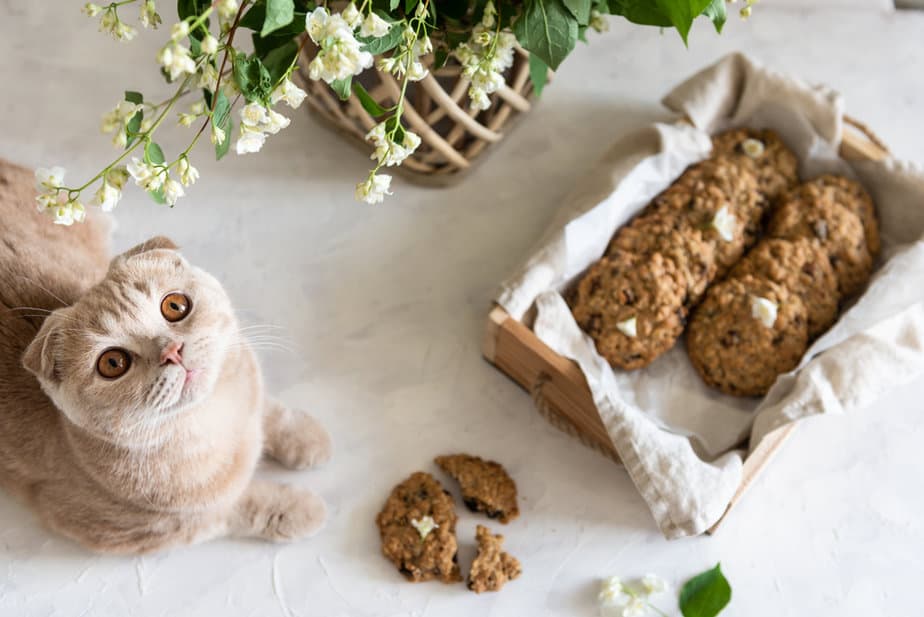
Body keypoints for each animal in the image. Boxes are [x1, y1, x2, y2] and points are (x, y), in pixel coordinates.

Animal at [0, 159, 332, 552]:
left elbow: (272, 410)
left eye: (174, 306)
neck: (213, 420)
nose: (172, 351)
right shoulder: (142, 527)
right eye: (113, 363)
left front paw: (308, 437)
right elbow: (235, 508)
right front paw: (300, 508)